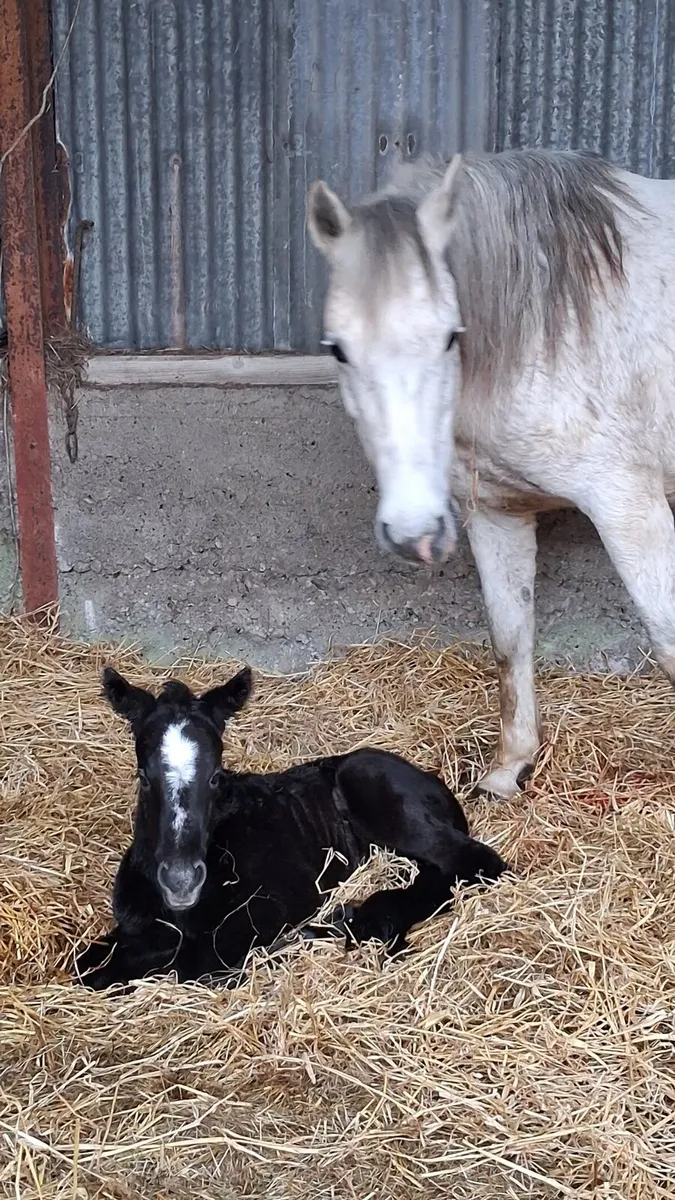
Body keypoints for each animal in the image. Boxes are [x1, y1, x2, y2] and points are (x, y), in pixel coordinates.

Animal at [75, 666, 507, 989]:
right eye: (143, 777)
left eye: (215, 776)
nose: (181, 881)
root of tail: (436, 784)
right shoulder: (134, 927)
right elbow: (87, 965)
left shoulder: (267, 909)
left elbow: (197, 965)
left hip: (384, 799)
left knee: (477, 862)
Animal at [307, 148, 675, 799]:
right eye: (339, 349)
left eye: (450, 336)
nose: (414, 533)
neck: (553, 331)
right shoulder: (498, 515)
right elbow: (510, 638)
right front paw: (510, 769)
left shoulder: (631, 507)